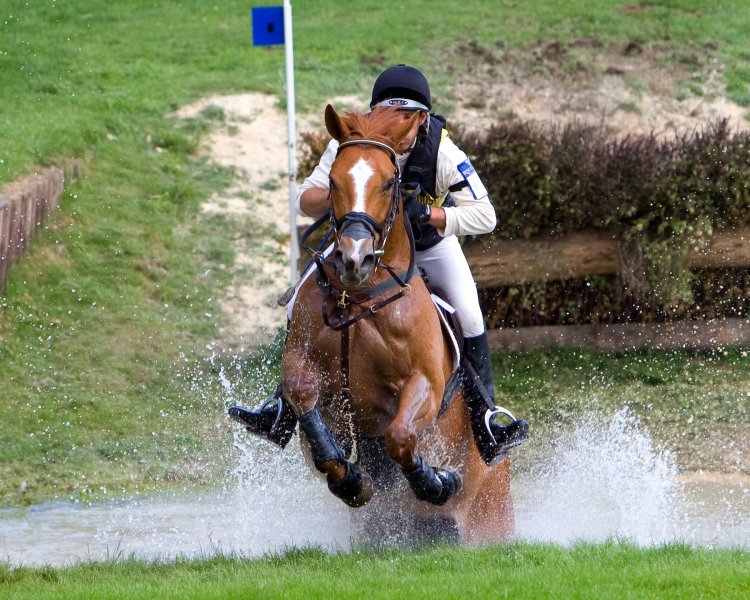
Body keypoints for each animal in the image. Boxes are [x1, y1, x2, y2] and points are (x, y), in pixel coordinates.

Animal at [284, 105, 516, 540]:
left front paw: (438, 482)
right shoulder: (304, 364)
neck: (358, 297)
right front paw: (352, 481)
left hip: (491, 509)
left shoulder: (424, 383)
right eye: (334, 180)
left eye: (390, 183)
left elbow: (401, 434)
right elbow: (304, 401)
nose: (353, 260)